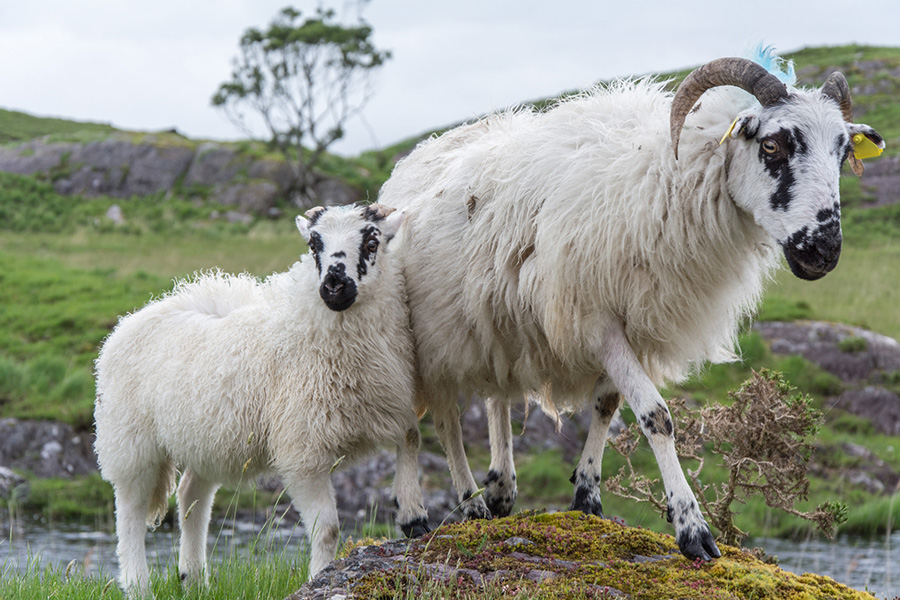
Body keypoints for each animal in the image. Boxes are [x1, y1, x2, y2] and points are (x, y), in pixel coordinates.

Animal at [93, 203, 429, 597]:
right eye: (314, 244)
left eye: (372, 241)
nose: (334, 285)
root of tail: (131, 319)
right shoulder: (302, 449)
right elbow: (327, 529)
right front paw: (320, 576)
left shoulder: (389, 403)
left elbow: (411, 437)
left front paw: (413, 514)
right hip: (131, 441)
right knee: (129, 511)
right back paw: (138, 585)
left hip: (205, 439)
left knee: (191, 494)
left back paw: (193, 578)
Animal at [377, 52, 884, 562]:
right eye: (773, 145)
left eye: (843, 152)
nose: (824, 251)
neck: (668, 175)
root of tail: (412, 160)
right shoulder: (595, 318)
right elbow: (657, 416)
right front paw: (692, 528)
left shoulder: (633, 322)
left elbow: (606, 405)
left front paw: (587, 496)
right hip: (426, 333)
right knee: (438, 422)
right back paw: (437, 510)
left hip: (490, 321)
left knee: (494, 394)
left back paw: (499, 489)